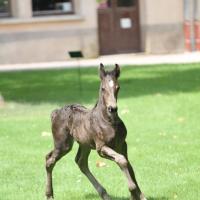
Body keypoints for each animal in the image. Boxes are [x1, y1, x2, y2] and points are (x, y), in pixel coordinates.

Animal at [44, 64, 146, 200]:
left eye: (118, 87)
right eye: (103, 88)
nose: (112, 108)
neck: (109, 121)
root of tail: (55, 112)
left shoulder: (122, 145)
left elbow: (129, 165)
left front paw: (139, 196)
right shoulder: (101, 148)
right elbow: (122, 160)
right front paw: (133, 191)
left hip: (84, 144)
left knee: (80, 162)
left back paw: (104, 194)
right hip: (63, 144)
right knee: (49, 160)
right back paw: (49, 195)